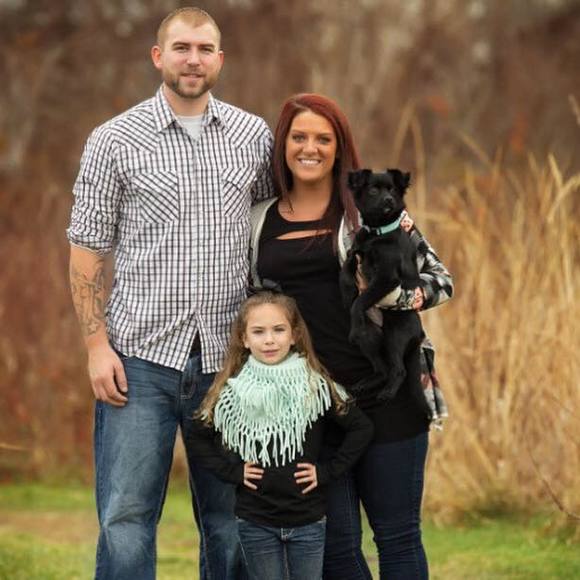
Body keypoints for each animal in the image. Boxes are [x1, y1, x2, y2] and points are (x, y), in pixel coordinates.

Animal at [340, 168, 426, 404]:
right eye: (373, 190)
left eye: (393, 190)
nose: (388, 200)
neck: (378, 232)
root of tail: (419, 335)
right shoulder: (355, 252)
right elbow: (346, 269)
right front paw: (347, 291)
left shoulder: (387, 278)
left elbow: (360, 301)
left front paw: (353, 304)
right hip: (370, 337)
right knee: (382, 369)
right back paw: (365, 385)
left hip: (394, 335)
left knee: (398, 370)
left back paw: (387, 393)